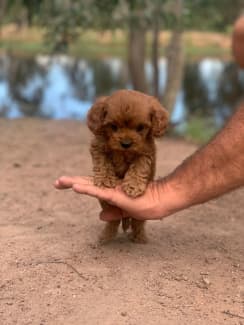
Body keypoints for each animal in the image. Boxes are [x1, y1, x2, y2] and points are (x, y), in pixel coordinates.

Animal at [86, 90, 169, 242]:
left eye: (140, 127)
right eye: (113, 126)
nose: (126, 143)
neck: (123, 152)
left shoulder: (146, 153)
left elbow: (138, 168)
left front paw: (133, 186)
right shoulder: (98, 146)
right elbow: (103, 163)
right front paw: (105, 180)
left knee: (138, 222)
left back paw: (139, 237)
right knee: (113, 219)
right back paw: (106, 236)